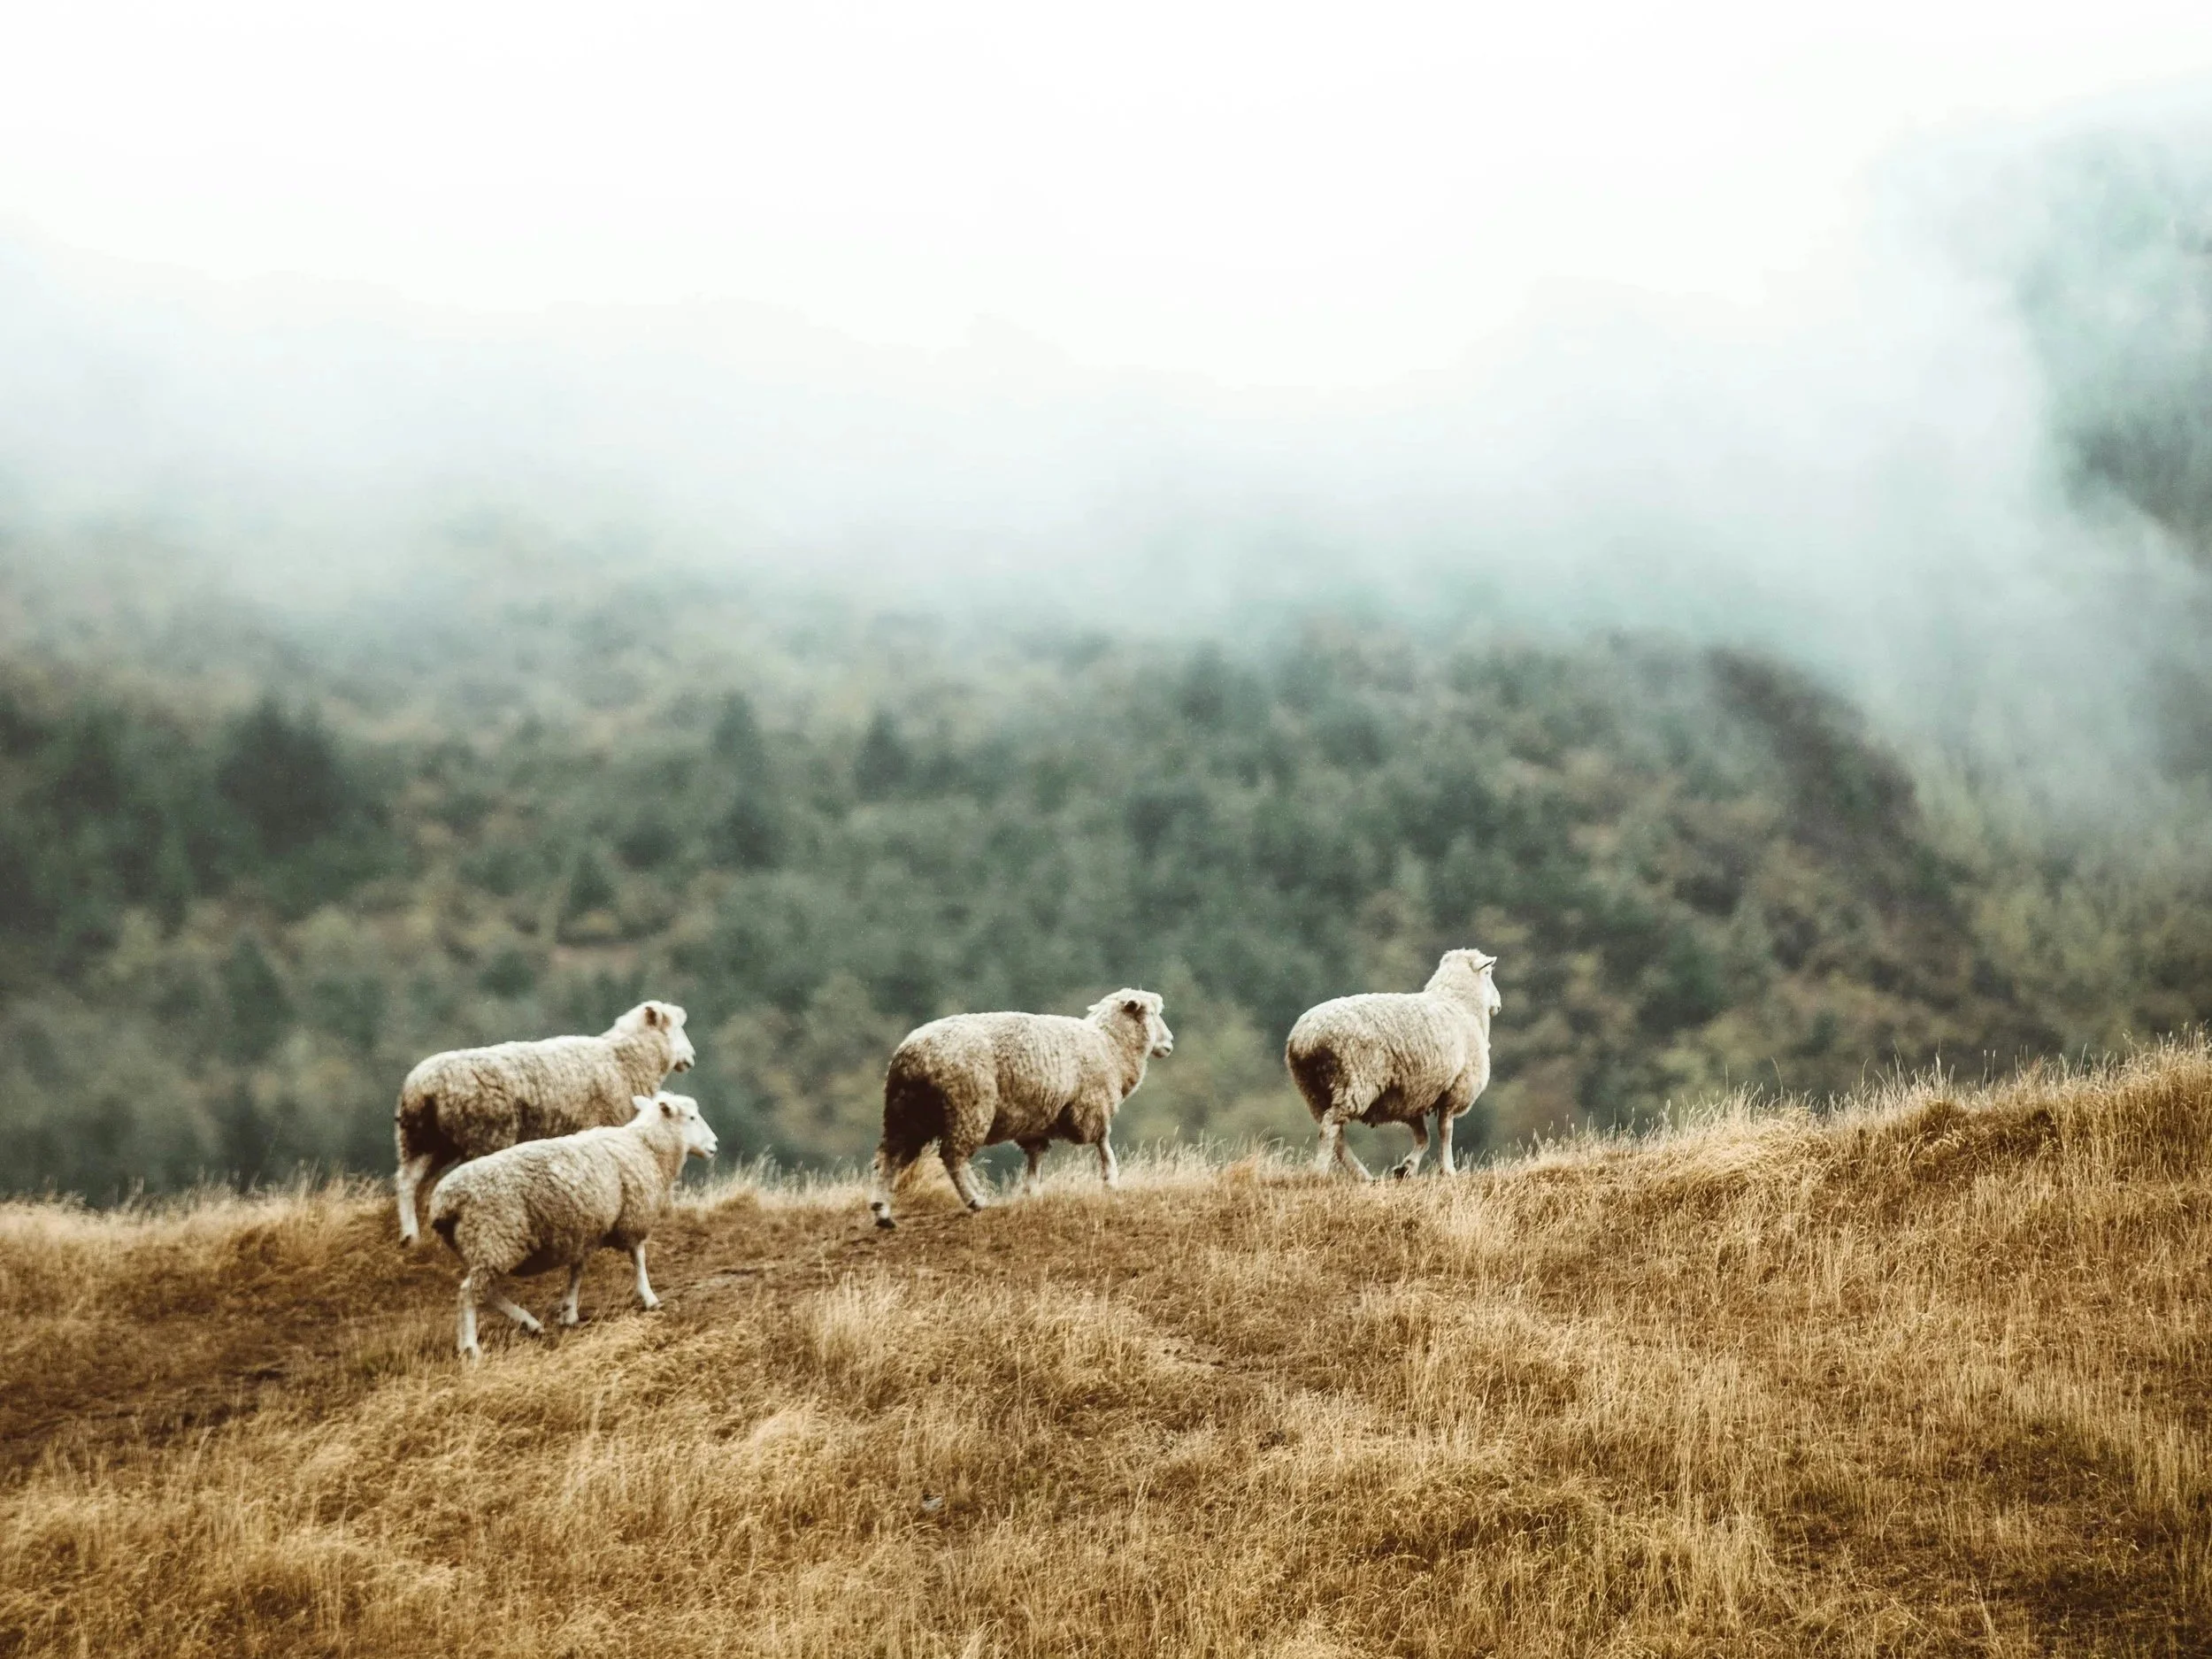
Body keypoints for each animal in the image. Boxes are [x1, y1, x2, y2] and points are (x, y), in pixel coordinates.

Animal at [394, 1000, 697, 1246]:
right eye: (676, 1029)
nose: (692, 1058)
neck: (623, 1060)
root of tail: (422, 1087)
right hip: (483, 1135)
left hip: (423, 1140)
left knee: (408, 1181)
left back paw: (411, 1237)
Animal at [428, 1090, 718, 1361]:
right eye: (692, 1117)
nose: (715, 1144)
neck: (646, 1147)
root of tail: (446, 1201)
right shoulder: (633, 1216)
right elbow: (638, 1257)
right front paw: (649, 1297)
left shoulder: (587, 1228)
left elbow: (578, 1270)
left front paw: (569, 1311)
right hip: (494, 1238)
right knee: (469, 1293)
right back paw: (471, 1347)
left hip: (479, 1246)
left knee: (486, 1292)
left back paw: (529, 1323)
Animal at [866, 989, 1174, 1228]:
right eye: (1153, 1013)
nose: (1169, 1043)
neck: (1111, 1045)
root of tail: (912, 1055)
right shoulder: (1092, 1105)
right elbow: (1103, 1141)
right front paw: (1111, 1179)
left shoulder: (1038, 1121)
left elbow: (1036, 1156)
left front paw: (1031, 1192)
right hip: (968, 1107)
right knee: (952, 1156)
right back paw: (976, 1199)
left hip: (904, 1114)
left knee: (889, 1155)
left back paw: (882, 1211)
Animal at [1285, 948, 1501, 1180]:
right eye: (1488, 973)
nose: (1498, 1004)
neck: (1460, 1004)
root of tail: (1306, 1038)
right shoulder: (1455, 1089)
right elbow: (1445, 1131)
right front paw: (1448, 1170)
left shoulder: (1413, 1097)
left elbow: (1423, 1137)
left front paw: (1406, 1168)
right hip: (1355, 1082)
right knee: (1330, 1126)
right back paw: (1320, 1172)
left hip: (1312, 1090)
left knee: (1337, 1135)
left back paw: (1364, 1176)